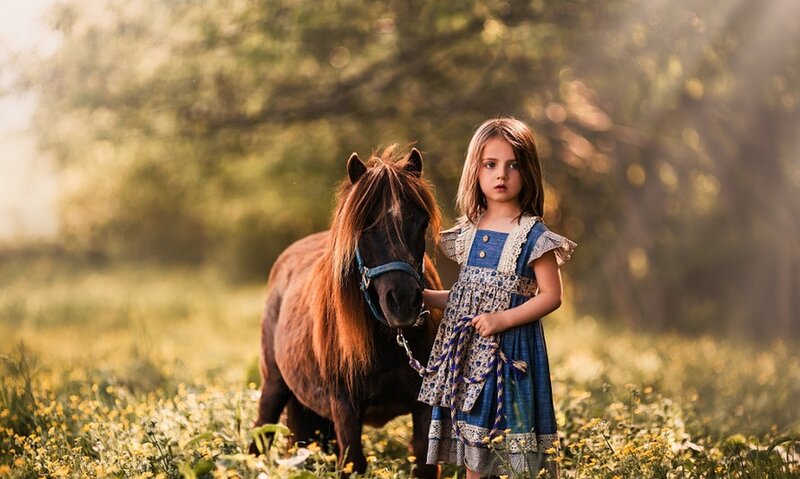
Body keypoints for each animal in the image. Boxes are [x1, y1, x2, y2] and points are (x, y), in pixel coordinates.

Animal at [250, 146, 443, 478]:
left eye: (421, 223)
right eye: (365, 226)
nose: (403, 301)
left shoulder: (422, 407)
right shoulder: (345, 408)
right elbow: (354, 461)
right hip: (273, 388)